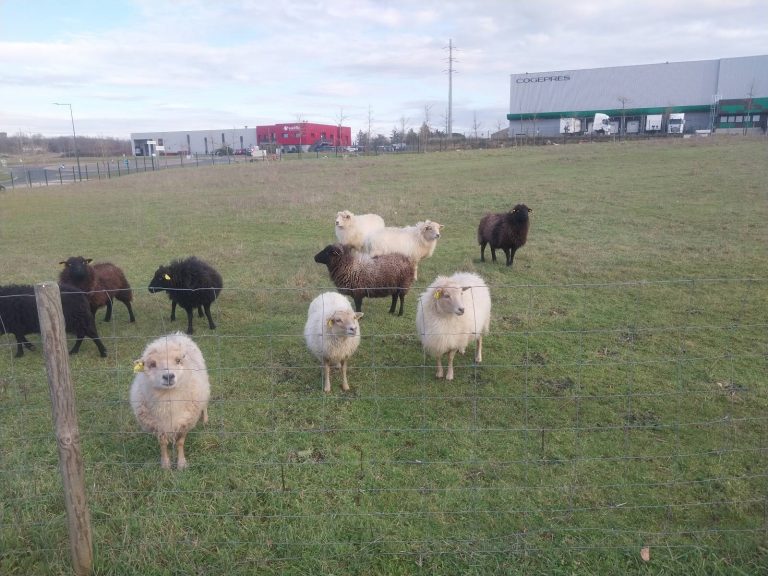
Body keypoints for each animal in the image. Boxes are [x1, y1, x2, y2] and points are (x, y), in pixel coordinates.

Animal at [130, 332, 210, 470]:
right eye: (152, 364)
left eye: (178, 361)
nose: (168, 376)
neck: (168, 400)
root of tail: (176, 333)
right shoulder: (157, 425)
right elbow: (162, 444)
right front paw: (165, 464)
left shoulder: (185, 422)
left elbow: (180, 443)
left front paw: (182, 464)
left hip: (203, 386)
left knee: (204, 403)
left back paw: (205, 419)